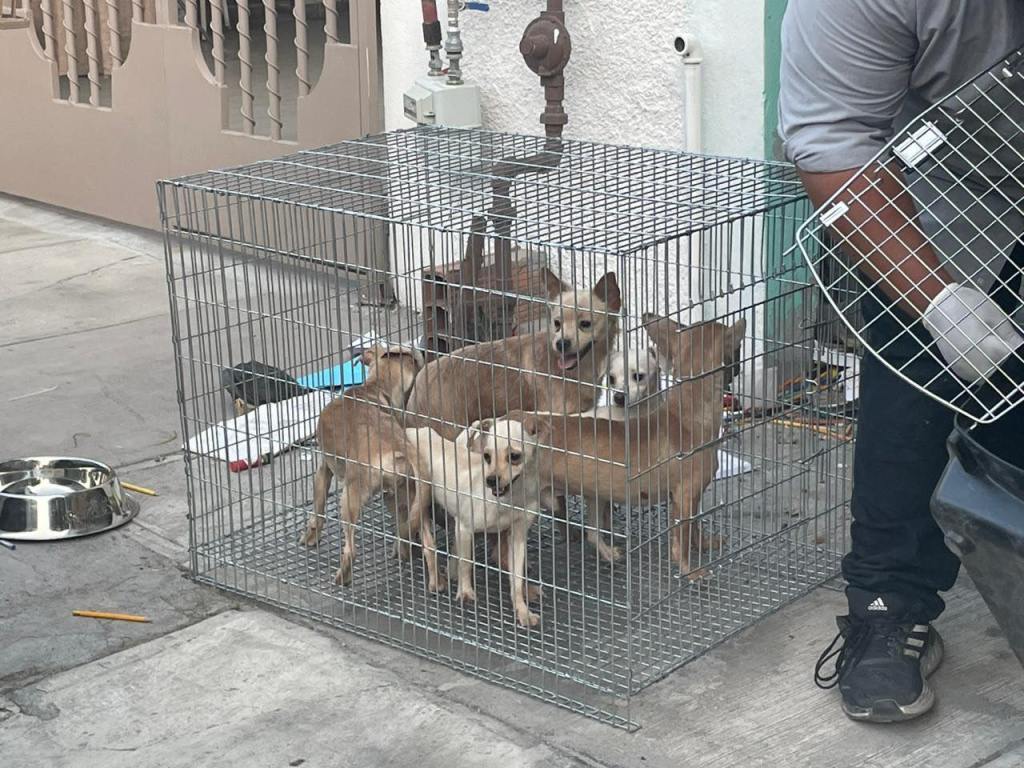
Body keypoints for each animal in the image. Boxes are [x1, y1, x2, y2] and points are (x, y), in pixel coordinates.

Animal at [294, 348, 442, 593]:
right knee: (428, 543)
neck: (375, 388)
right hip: (410, 496)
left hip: (350, 498)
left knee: (350, 550)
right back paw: (435, 582)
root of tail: (400, 448)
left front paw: (310, 538)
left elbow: (318, 511)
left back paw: (342, 578)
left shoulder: (324, 469)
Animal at [401, 417, 548, 626]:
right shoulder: (465, 528)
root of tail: (410, 431)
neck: (509, 499)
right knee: (429, 544)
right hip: (420, 501)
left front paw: (522, 611)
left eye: (514, 456)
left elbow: (517, 578)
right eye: (487, 456)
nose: (491, 480)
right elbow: (466, 562)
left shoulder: (517, 536)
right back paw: (437, 580)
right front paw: (465, 592)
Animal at [509, 311, 745, 573]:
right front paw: (689, 571)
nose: (738, 368)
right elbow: (682, 539)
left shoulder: (685, 498)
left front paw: (703, 544)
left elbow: (694, 528)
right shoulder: (686, 496)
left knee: (592, 532)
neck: (685, 415)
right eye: (737, 350)